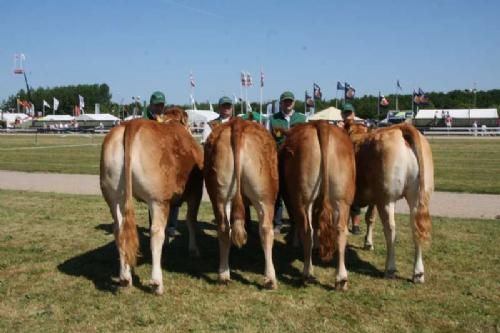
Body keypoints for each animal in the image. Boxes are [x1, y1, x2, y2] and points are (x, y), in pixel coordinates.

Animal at [99, 117, 203, 294]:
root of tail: (132, 123)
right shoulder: (196, 192)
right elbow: (191, 221)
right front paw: (194, 249)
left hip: (113, 195)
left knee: (119, 230)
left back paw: (125, 278)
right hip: (157, 199)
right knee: (156, 232)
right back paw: (157, 283)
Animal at [204, 116, 282, 288]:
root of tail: (238, 123)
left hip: (219, 195)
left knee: (224, 229)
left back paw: (224, 275)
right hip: (265, 196)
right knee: (266, 230)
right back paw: (270, 279)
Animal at [282, 120, 356, 290]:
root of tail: (322, 124)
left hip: (303, 199)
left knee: (307, 230)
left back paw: (307, 274)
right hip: (342, 199)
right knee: (340, 231)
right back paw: (341, 279)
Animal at [344, 120, 434, 282]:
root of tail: (401, 128)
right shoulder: (374, 198)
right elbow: (370, 218)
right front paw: (368, 243)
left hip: (387, 199)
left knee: (391, 229)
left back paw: (390, 269)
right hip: (417, 197)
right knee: (416, 228)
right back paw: (418, 273)